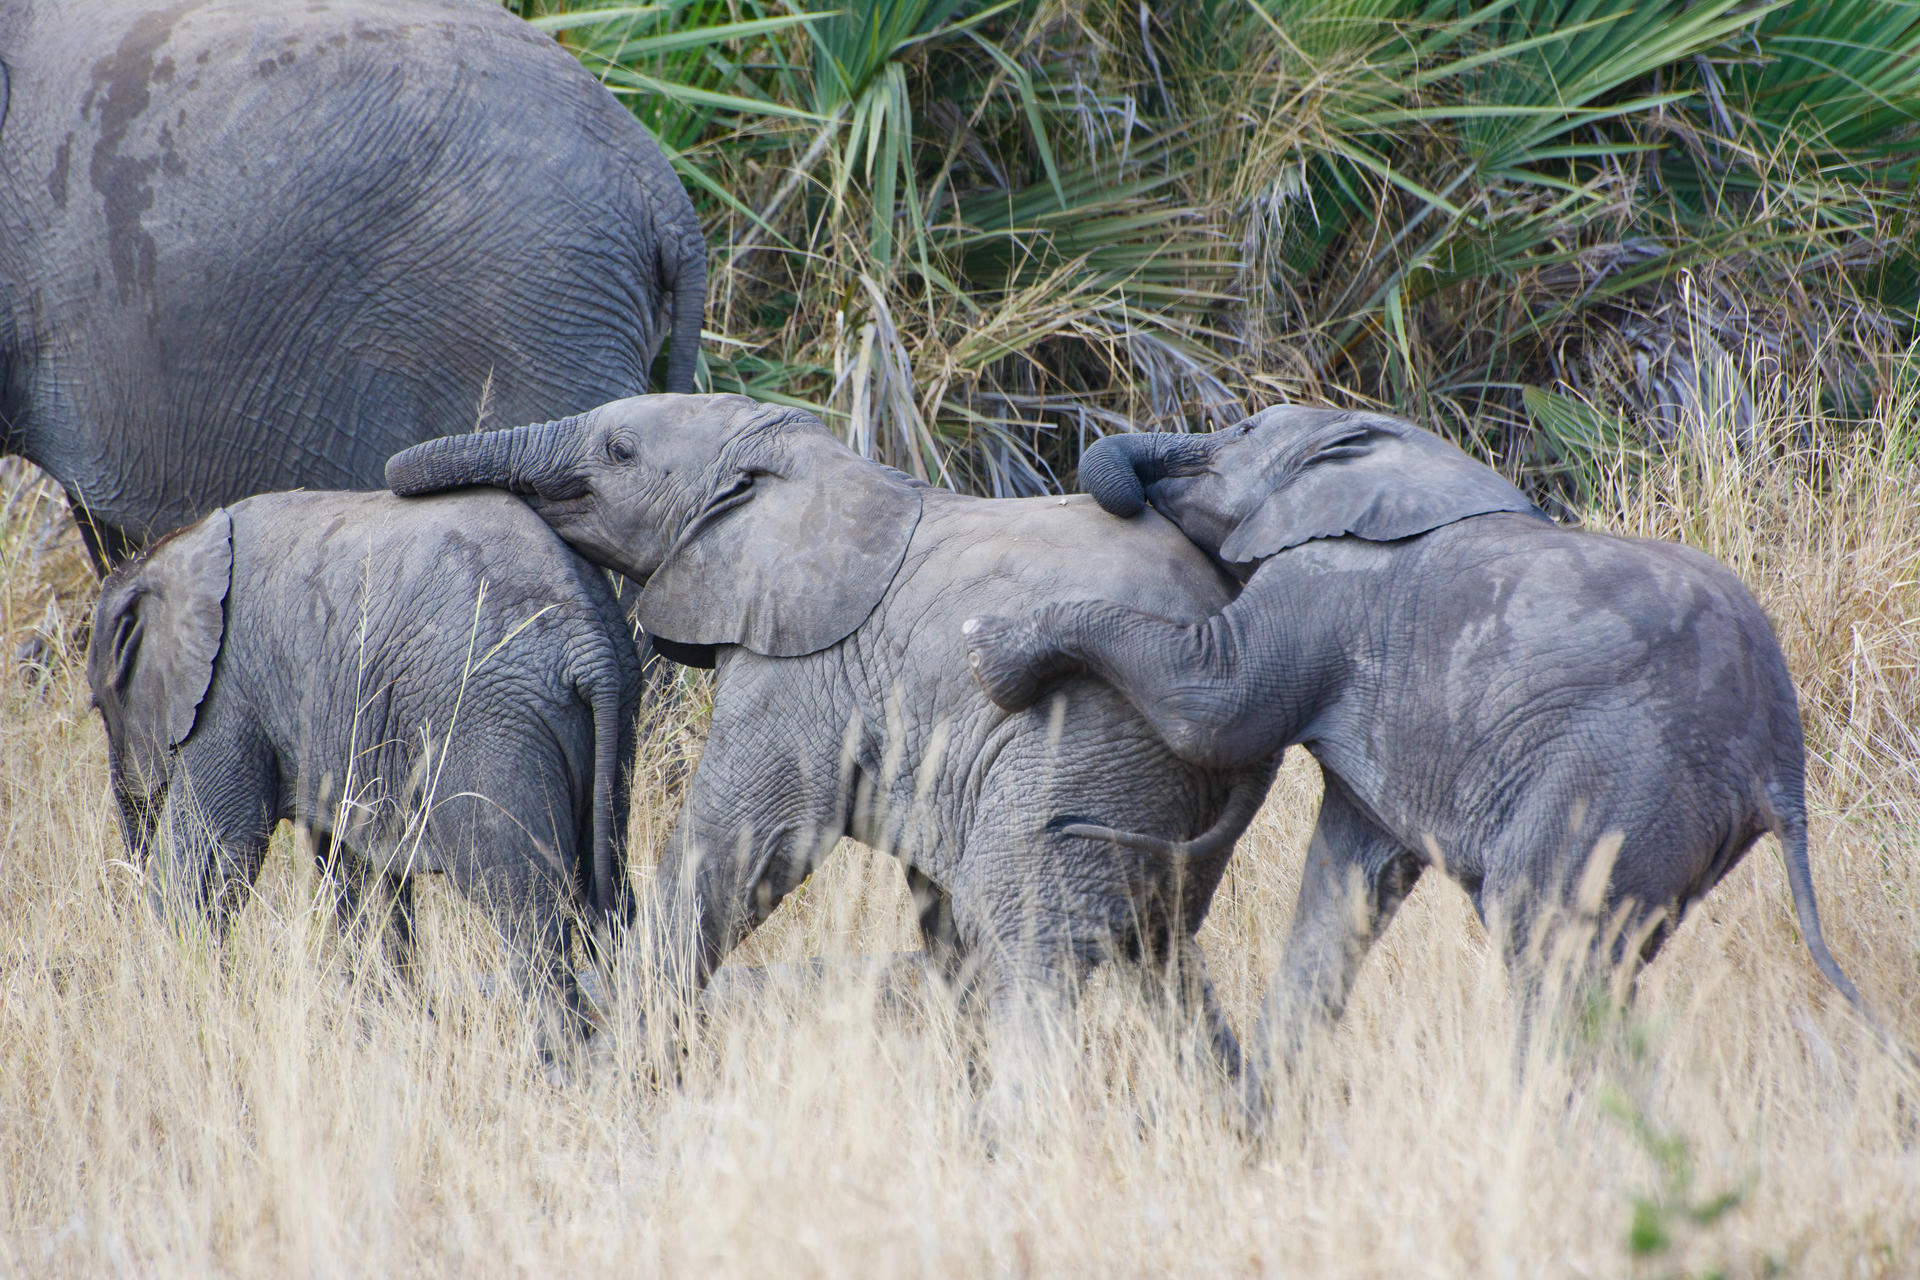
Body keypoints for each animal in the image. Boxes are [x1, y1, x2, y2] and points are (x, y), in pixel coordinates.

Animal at [88, 491, 645, 1043]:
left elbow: (206, 859)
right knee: (610, 892)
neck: (171, 549)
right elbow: (358, 870)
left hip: (493, 729)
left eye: (96, 704)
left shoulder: (227, 697)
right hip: (614, 721)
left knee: (525, 907)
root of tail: (590, 646)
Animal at [382, 397, 1274, 1082]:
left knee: (1033, 936)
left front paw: (612, 1084)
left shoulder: (801, 674)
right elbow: (942, 921)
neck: (808, 470)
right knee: (1156, 949)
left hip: (1090, 739)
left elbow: (738, 851)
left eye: (620, 449)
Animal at [967, 410, 1866, 1074]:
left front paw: (991, 654)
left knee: (1547, 944)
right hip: (1680, 820)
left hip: (1628, 785)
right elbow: (1348, 885)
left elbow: (1213, 702)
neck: (1404, 459)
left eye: (1243, 427)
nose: (1131, 486)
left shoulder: (1322, 585)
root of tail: (1780, 764)